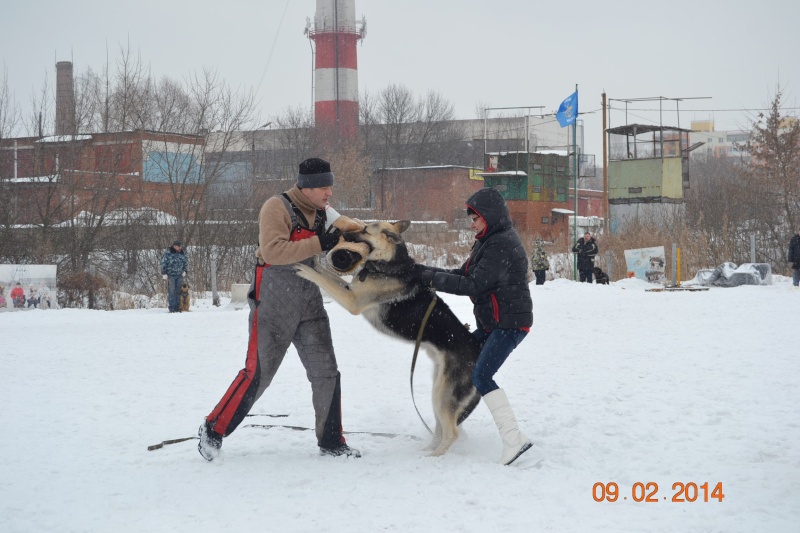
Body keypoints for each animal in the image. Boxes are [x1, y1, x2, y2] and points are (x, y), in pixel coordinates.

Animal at [294, 220, 482, 458]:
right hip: (438, 391)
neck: (387, 264)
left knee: (452, 433)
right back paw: (426, 449)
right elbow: (329, 275)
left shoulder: (353, 300)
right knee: (441, 428)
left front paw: (307, 270)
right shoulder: (352, 289)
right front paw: (312, 262)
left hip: (443, 395)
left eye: (365, 230)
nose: (342, 234)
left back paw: (432, 457)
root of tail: (478, 353)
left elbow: (324, 280)